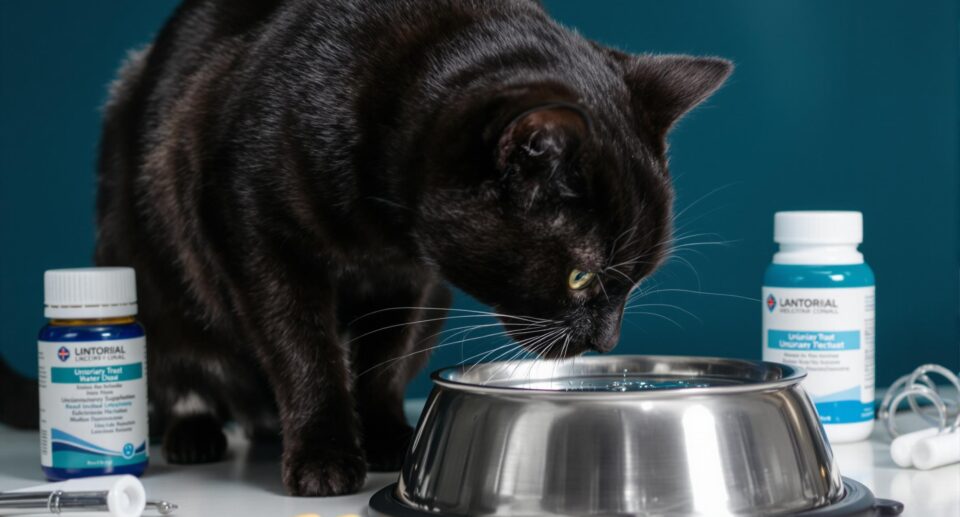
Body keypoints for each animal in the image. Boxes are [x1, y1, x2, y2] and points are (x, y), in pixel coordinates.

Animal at [92, 0, 728, 496]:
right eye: (580, 276)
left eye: (638, 276)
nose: (608, 340)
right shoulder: (259, 239)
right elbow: (303, 350)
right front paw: (325, 456)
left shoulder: (410, 278)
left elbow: (384, 358)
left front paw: (388, 441)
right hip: (142, 265)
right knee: (181, 370)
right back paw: (194, 433)